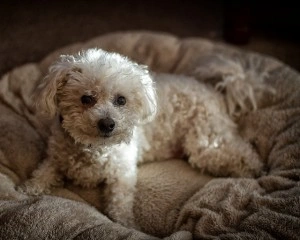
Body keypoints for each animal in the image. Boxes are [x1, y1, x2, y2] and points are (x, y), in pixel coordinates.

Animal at [18, 47, 262, 228]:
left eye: (121, 100)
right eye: (86, 99)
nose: (107, 123)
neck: (94, 148)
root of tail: (215, 92)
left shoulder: (122, 173)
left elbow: (120, 203)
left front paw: (124, 224)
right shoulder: (55, 158)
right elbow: (42, 173)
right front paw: (26, 189)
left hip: (205, 142)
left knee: (242, 150)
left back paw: (255, 170)